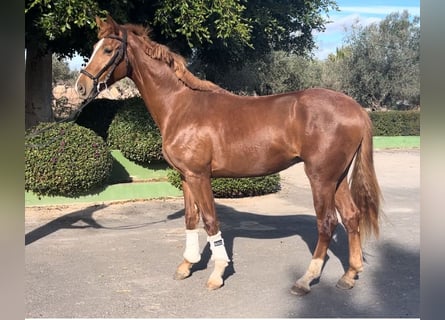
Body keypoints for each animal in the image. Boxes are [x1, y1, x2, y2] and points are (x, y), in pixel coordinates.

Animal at [76, 15, 382, 296]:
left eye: (107, 50)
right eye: (93, 47)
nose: (81, 87)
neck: (181, 106)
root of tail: (356, 109)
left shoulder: (200, 176)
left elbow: (211, 221)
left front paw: (217, 273)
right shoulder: (185, 177)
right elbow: (191, 219)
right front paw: (186, 265)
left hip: (320, 178)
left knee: (327, 223)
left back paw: (306, 279)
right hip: (337, 178)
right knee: (351, 216)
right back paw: (349, 275)